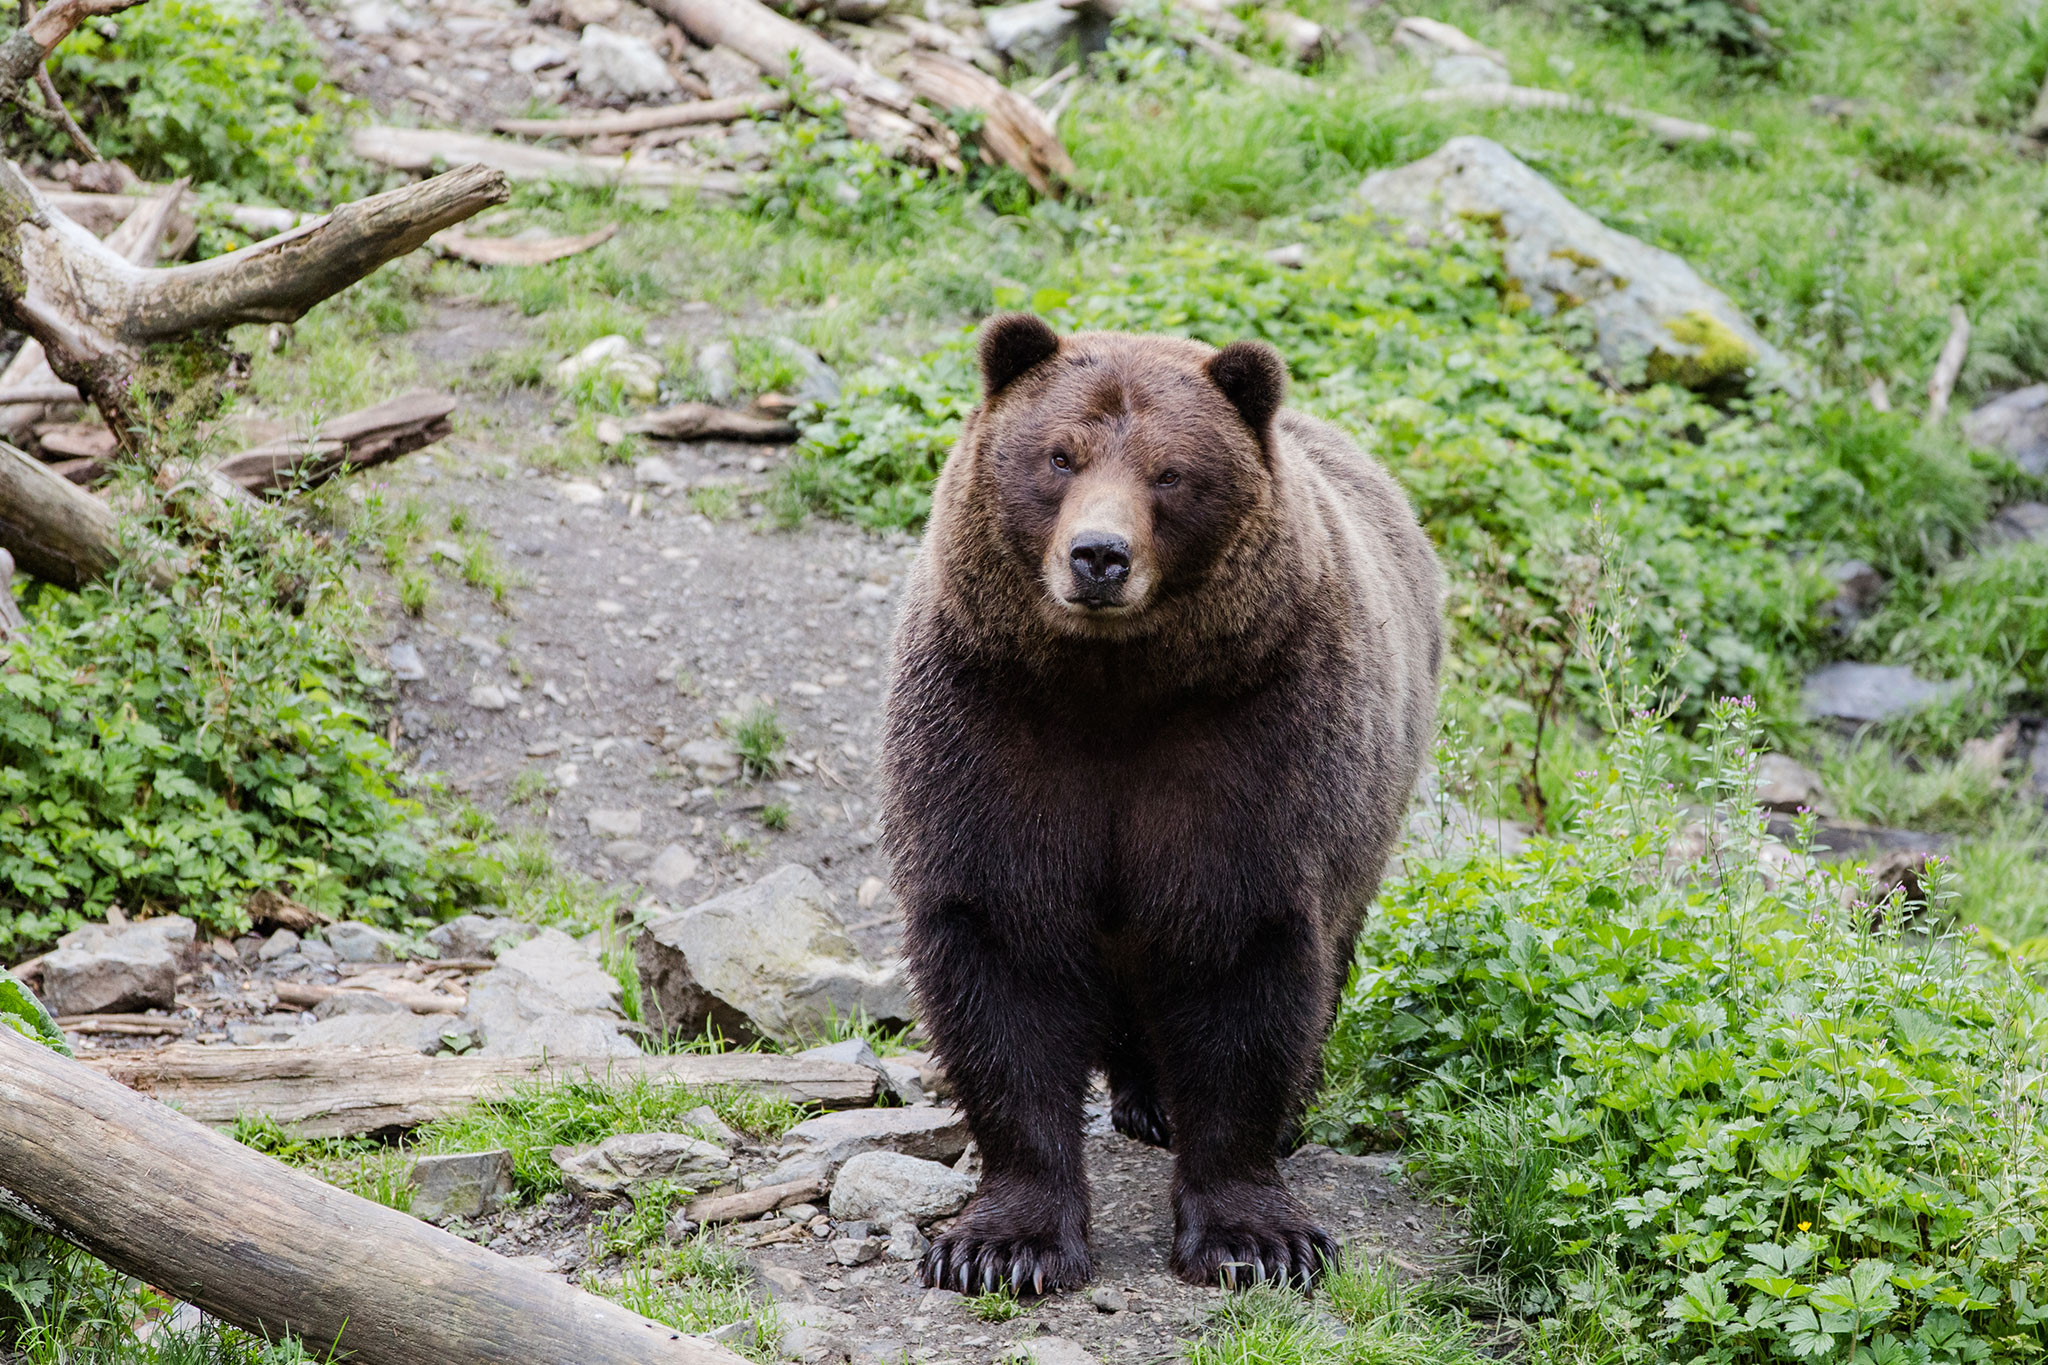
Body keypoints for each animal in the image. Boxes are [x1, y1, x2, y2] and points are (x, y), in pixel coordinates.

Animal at [880, 315, 1441, 1301]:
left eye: (1171, 471)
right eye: (1059, 455)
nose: (1099, 555)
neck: (1115, 685)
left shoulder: (1252, 742)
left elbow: (1238, 959)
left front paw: (1256, 1237)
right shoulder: (987, 728)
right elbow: (1003, 952)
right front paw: (1002, 1244)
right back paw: (1144, 1097)